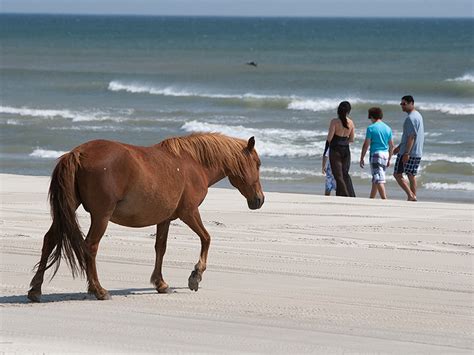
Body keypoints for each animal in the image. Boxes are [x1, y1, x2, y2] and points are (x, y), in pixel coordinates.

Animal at [27, 134, 264, 304]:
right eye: (258, 164)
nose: (259, 200)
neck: (193, 164)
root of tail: (78, 153)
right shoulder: (189, 213)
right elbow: (206, 238)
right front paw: (195, 275)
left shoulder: (165, 219)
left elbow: (161, 248)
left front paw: (161, 284)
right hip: (101, 216)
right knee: (90, 246)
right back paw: (99, 290)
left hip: (69, 209)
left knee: (49, 240)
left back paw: (35, 290)